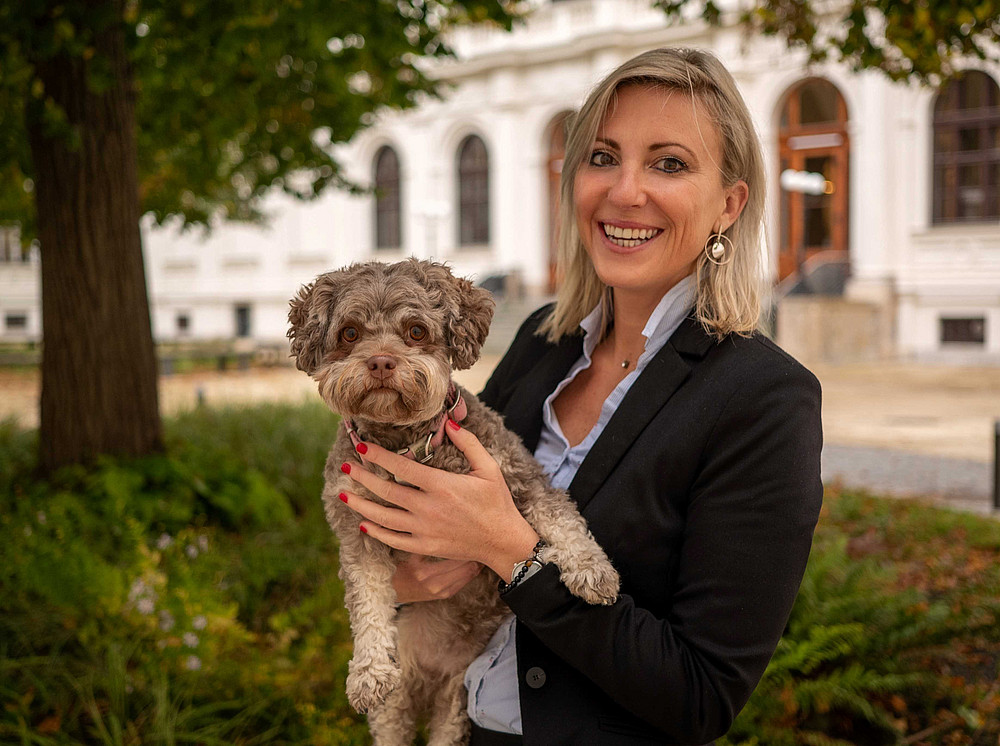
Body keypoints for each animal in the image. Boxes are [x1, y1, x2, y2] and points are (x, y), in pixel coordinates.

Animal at [288, 258, 616, 740]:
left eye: (416, 331)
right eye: (349, 333)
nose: (381, 361)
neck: (407, 446)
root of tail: (429, 676)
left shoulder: (521, 479)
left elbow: (562, 518)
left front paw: (594, 571)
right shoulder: (357, 533)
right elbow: (368, 599)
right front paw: (368, 671)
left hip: (455, 702)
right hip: (401, 712)